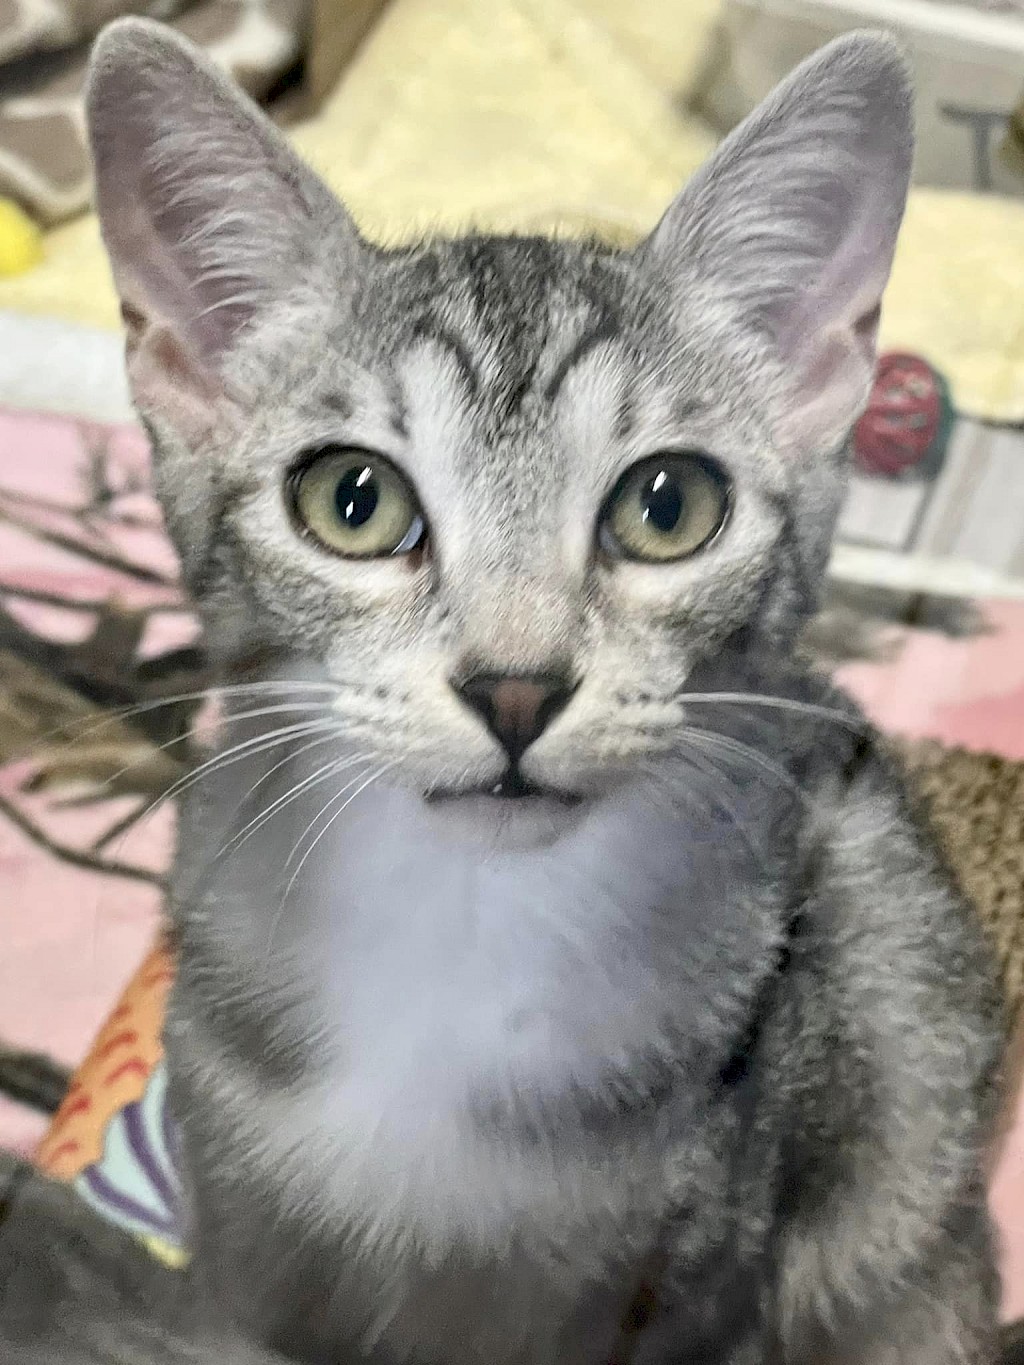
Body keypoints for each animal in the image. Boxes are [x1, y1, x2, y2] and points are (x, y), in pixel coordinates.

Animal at [0, 13, 1004, 1365]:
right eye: (353, 501)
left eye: (668, 505)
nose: (517, 687)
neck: (460, 934)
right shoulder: (244, 1249)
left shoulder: (694, 1274)